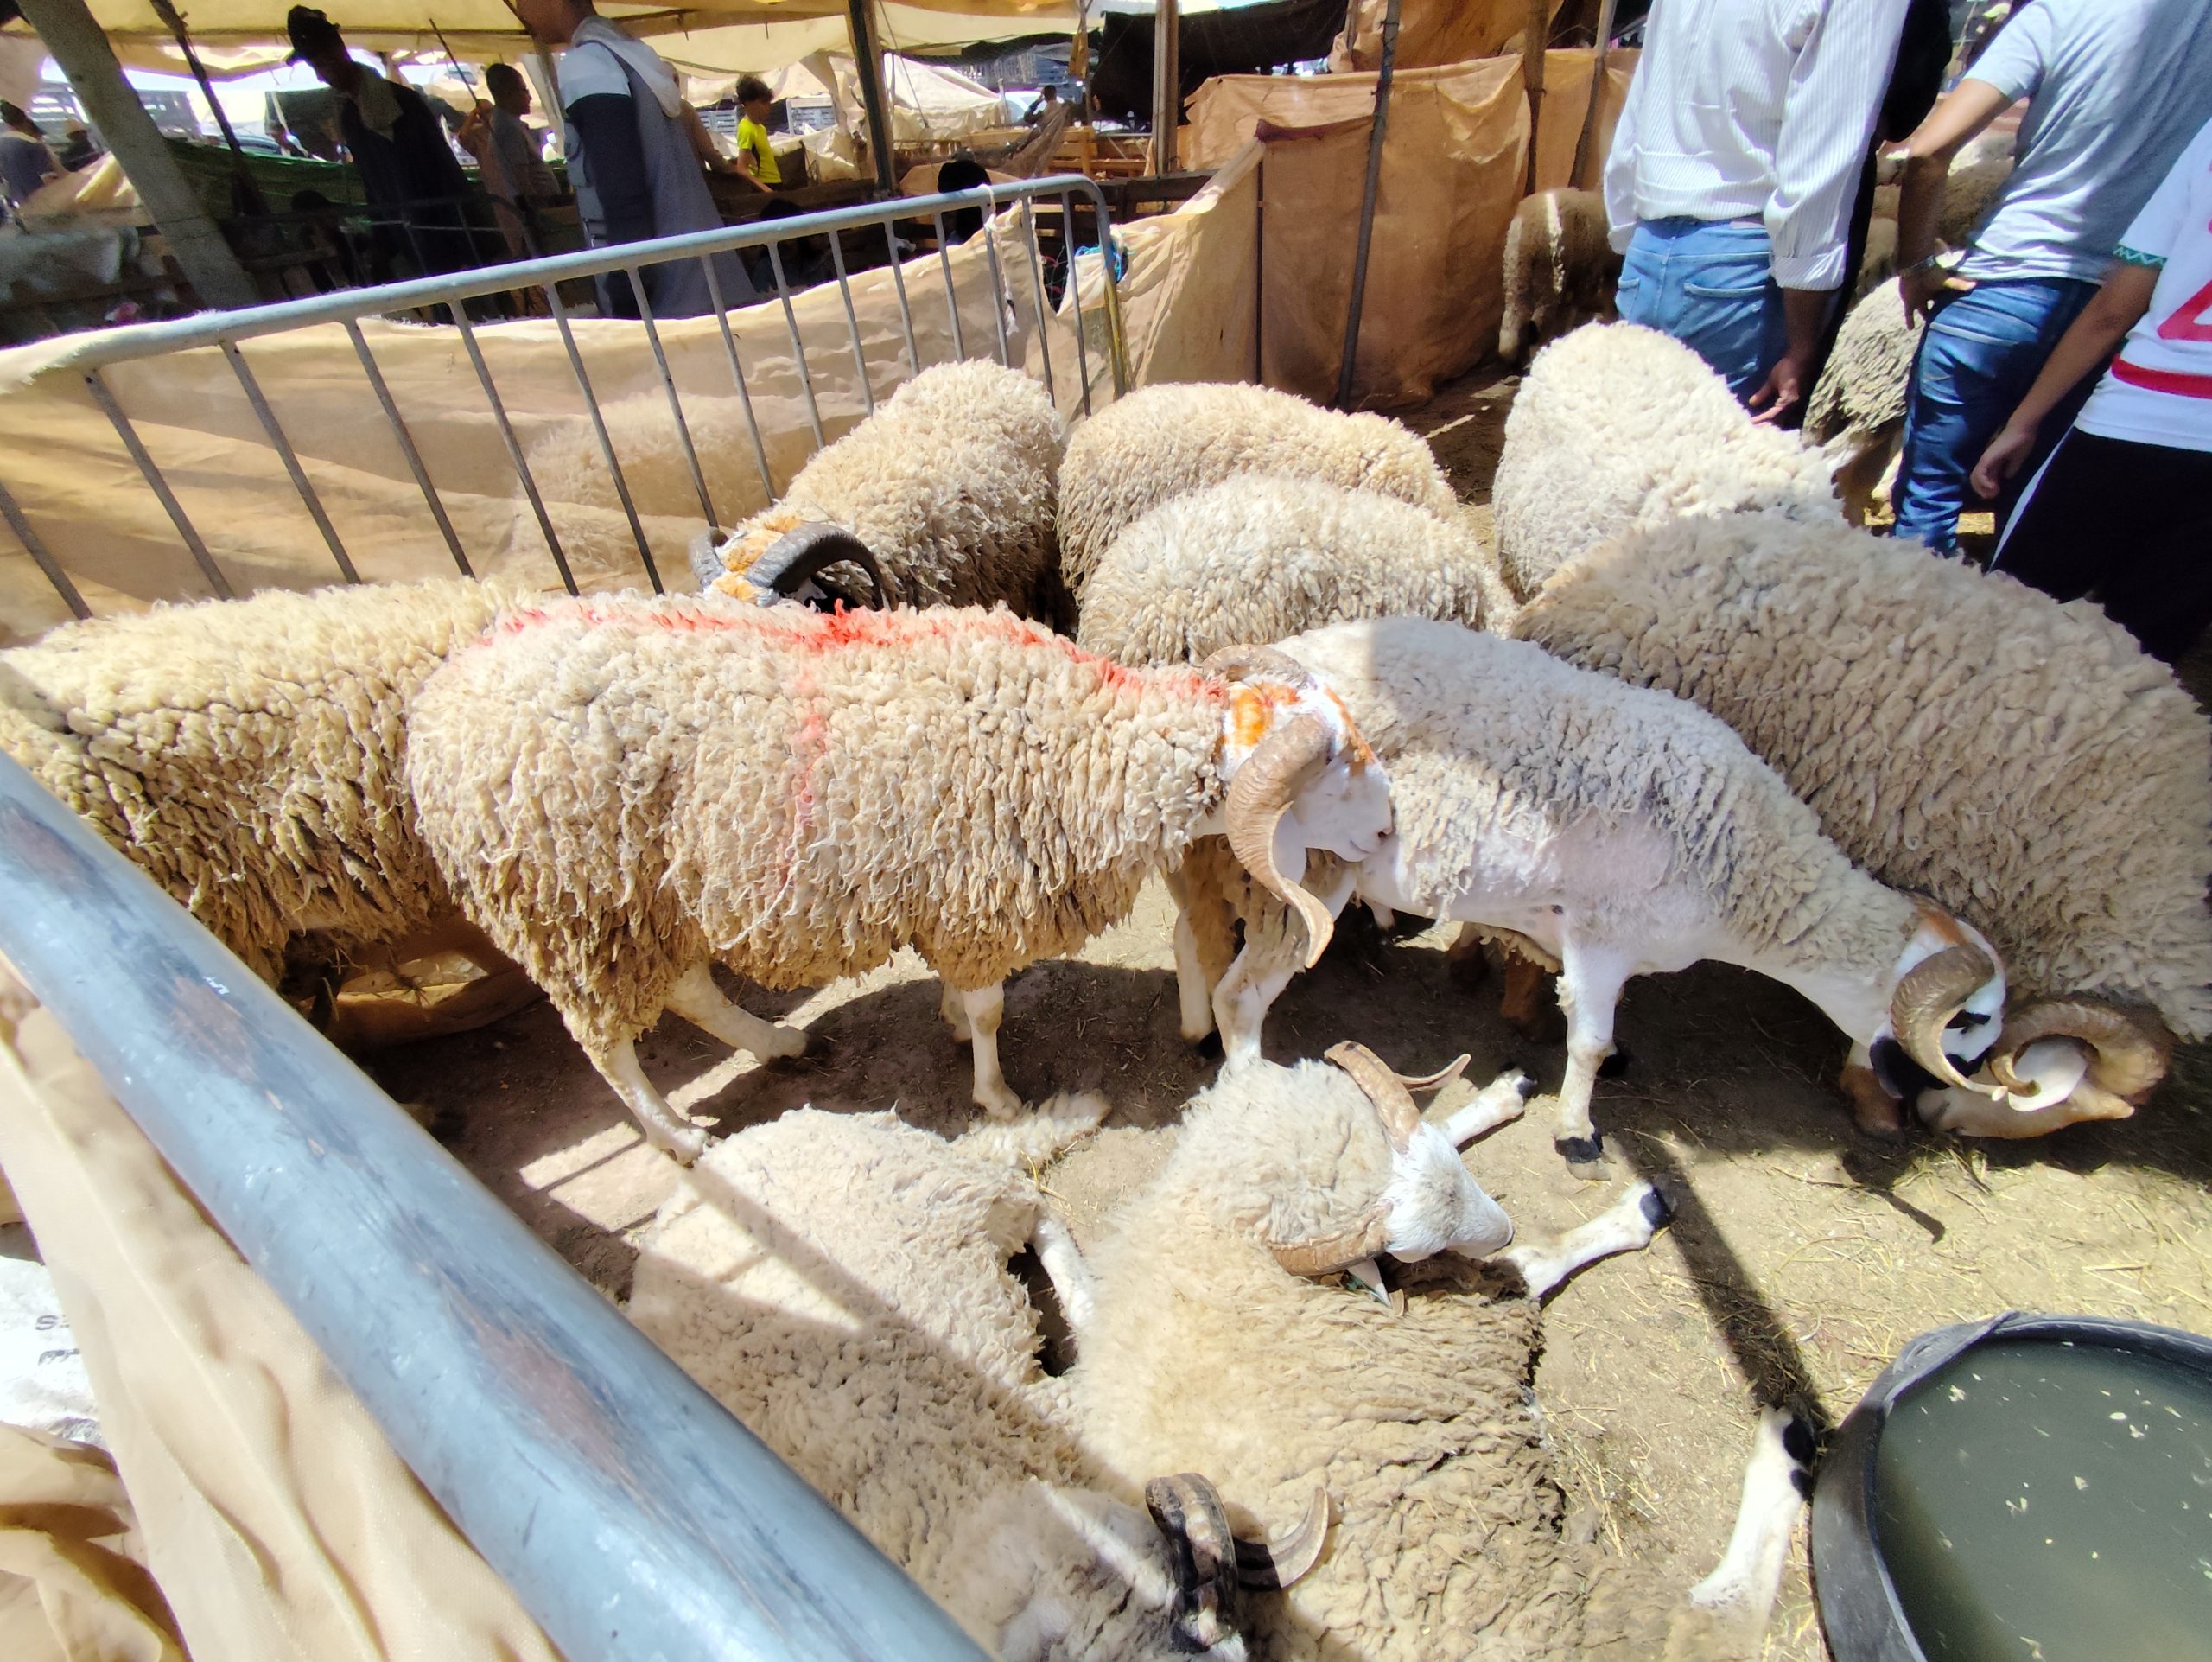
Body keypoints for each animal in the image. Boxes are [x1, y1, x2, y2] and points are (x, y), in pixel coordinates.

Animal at [404, 597, 1392, 1160]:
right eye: (1334, 773)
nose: (1391, 828)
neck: (1080, 739)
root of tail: (438, 706)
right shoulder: (976, 899)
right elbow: (992, 1012)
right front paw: (998, 1098)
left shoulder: (955, 905)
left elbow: (966, 1001)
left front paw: (951, 1026)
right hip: (574, 908)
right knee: (607, 1043)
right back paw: (677, 1134)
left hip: (649, 901)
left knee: (686, 986)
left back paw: (776, 1043)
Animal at [631, 1044, 1812, 1662]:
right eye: (1401, 1248)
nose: (1492, 1223)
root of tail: (712, 1173)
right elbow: (1544, 1265)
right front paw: (1627, 1211)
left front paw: (1492, 1106)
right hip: (941, 1199)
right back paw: (1789, 1434)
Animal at [1176, 628, 2007, 1165]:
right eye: (1970, 1019)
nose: (1923, 1103)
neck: (1741, 864)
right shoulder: (1602, 935)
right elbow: (1590, 1038)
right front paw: (1577, 1129)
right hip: (1302, 878)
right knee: (1243, 993)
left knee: (1194, 943)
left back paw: (1197, 1032)